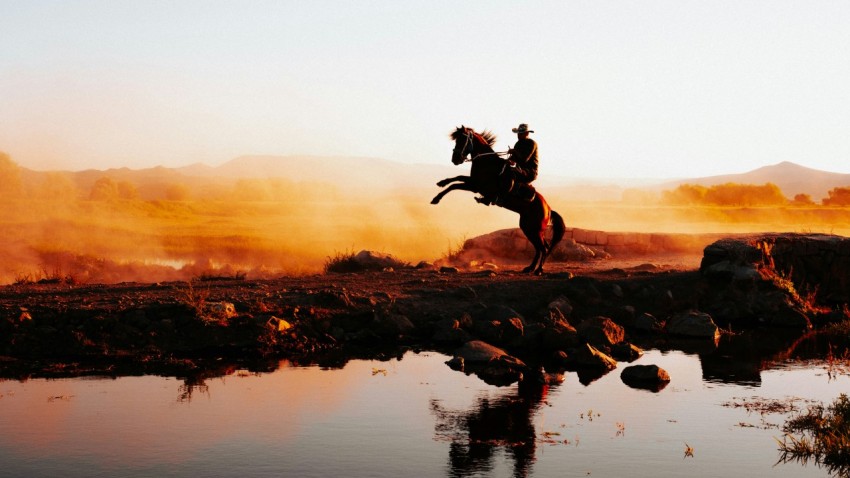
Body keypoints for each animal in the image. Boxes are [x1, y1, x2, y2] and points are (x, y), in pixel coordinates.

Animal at [430, 127, 564, 274]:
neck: (487, 163)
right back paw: (529, 268)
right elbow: (457, 178)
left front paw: (436, 199)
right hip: (528, 228)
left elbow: (455, 185)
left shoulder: (476, 186)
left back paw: (538, 270)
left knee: (543, 248)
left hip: (535, 229)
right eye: (456, 140)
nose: (455, 159)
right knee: (540, 248)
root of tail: (549, 209)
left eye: (463, 140)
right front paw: (441, 183)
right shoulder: (473, 182)